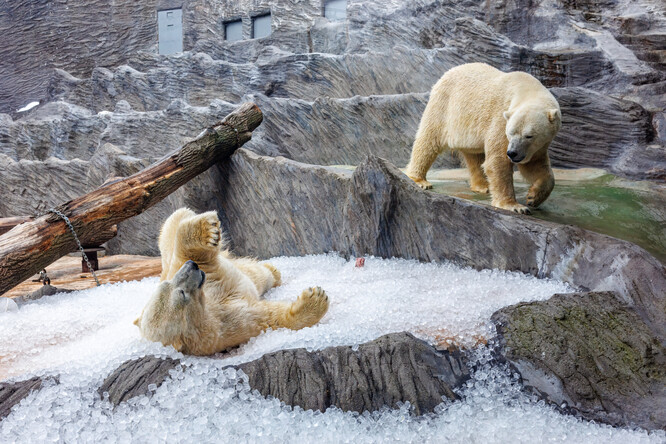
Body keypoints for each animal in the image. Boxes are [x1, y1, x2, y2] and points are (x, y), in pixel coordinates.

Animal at [134, 208, 328, 358]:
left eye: (168, 285)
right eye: (181, 294)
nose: (192, 267)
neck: (208, 305)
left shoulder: (189, 270)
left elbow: (187, 248)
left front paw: (207, 230)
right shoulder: (226, 328)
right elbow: (269, 318)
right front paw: (315, 300)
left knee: (173, 223)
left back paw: (272, 270)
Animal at [404, 62, 560, 213]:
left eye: (529, 136)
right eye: (510, 133)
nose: (512, 153)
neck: (526, 89)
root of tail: (448, 73)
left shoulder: (535, 146)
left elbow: (535, 165)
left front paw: (534, 197)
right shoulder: (501, 119)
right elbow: (498, 160)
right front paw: (515, 206)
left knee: (474, 156)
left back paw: (483, 186)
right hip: (444, 106)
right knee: (428, 140)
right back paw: (419, 180)